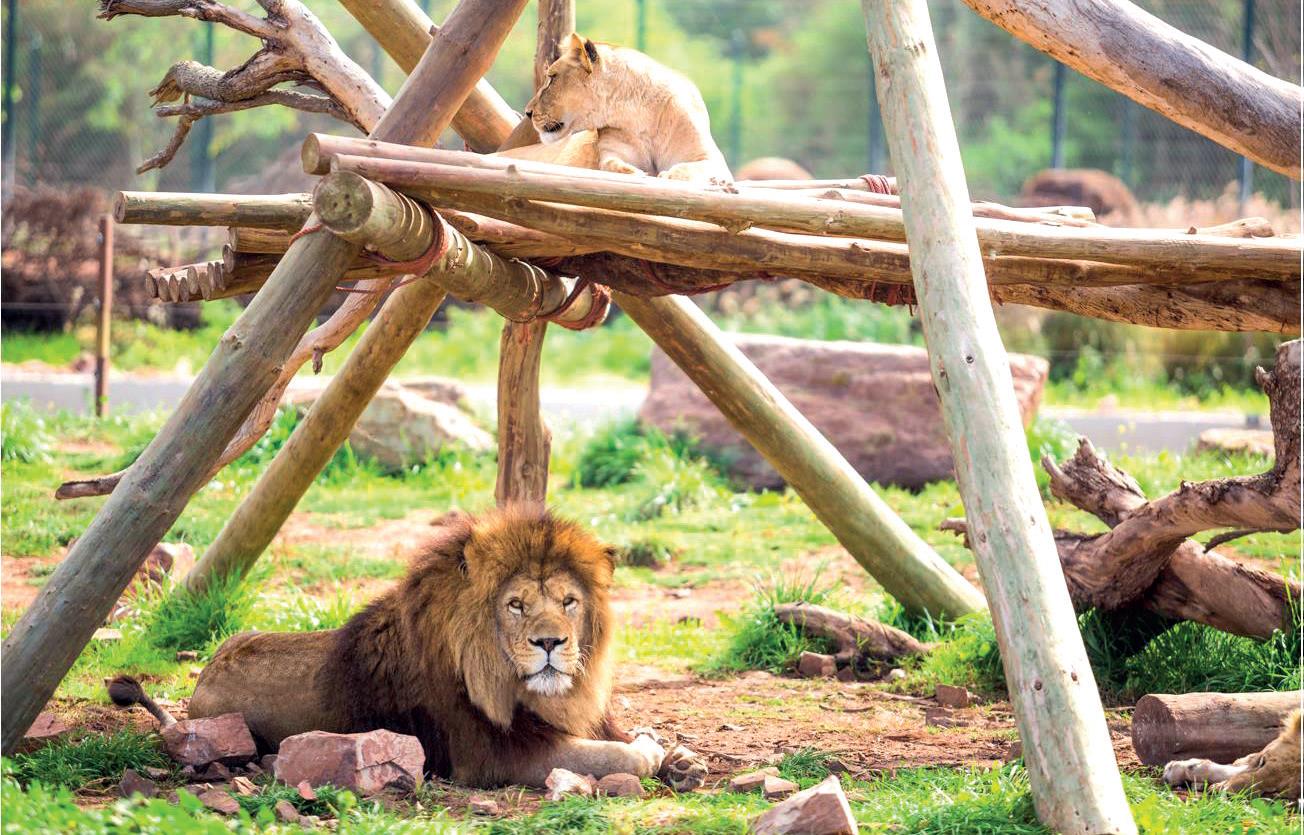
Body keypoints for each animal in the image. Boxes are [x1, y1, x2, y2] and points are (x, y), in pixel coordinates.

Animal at [109, 505, 708, 791]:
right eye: (516, 604)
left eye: (568, 602)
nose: (550, 643)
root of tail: (204, 677)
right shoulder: (491, 757)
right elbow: (609, 754)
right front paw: (651, 753)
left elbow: (626, 738)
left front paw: (682, 760)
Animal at [515, 33, 731, 183]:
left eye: (551, 78)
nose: (528, 112)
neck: (636, 115)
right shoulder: (611, 152)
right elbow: (610, 164)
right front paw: (634, 171)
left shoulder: (709, 158)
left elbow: (687, 168)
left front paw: (669, 175)